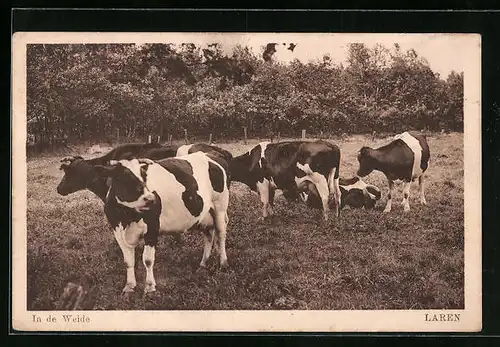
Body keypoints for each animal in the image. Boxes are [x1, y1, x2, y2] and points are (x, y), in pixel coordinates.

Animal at [93, 152, 230, 294]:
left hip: (220, 206)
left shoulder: (152, 228)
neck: (127, 217)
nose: (151, 199)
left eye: (144, 176)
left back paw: (223, 263)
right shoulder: (117, 231)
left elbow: (147, 260)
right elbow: (128, 261)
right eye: (124, 177)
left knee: (221, 234)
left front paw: (150, 287)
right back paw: (203, 264)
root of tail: (209, 154)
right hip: (204, 214)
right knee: (209, 235)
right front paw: (129, 286)